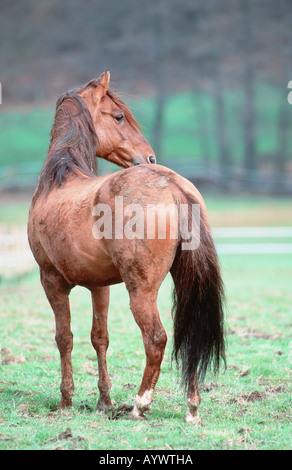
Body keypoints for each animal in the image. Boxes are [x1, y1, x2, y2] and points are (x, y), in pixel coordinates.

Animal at [28, 71, 226, 424]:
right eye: (119, 116)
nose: (149, 157)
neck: (59, 181)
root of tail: (174, 185)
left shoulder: (51, 281)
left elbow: (64, 338)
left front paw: (65, 401)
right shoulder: (100, 286)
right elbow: (99, 338)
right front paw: (104, 401)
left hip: (141, 291)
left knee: (156, 338)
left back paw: (140, 404)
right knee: (190, 336)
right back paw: (191, 407)